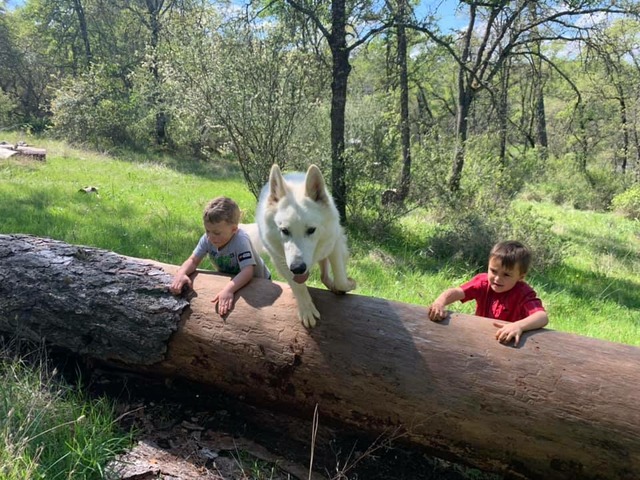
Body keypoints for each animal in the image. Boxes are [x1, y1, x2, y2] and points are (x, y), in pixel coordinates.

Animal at [244, 163, 358, 328]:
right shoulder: (281, 260)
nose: (298, 268)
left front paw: (346, 285)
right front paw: (306, 309)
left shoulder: (335, 242)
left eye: (311, 230)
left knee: (324, 274)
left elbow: (340, 278)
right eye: (284, 230)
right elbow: (298, 286)